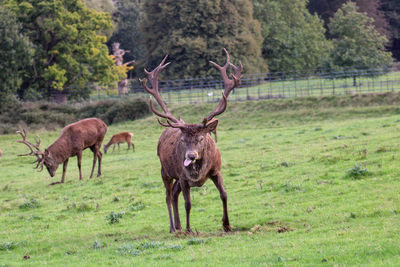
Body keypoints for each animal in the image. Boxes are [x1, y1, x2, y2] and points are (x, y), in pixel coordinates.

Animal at [139, 48, 242, 234]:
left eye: (201, 138)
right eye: (182, 139)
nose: (191, 156)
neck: (198, 173)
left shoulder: (216, 170)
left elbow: (224, 194)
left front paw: (227, 224)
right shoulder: (183, 177)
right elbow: (188, 203)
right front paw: (189, 229)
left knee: (174, 194)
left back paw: (178, 225)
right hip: (165, 171)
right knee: (167, 195)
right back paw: (173, 227)